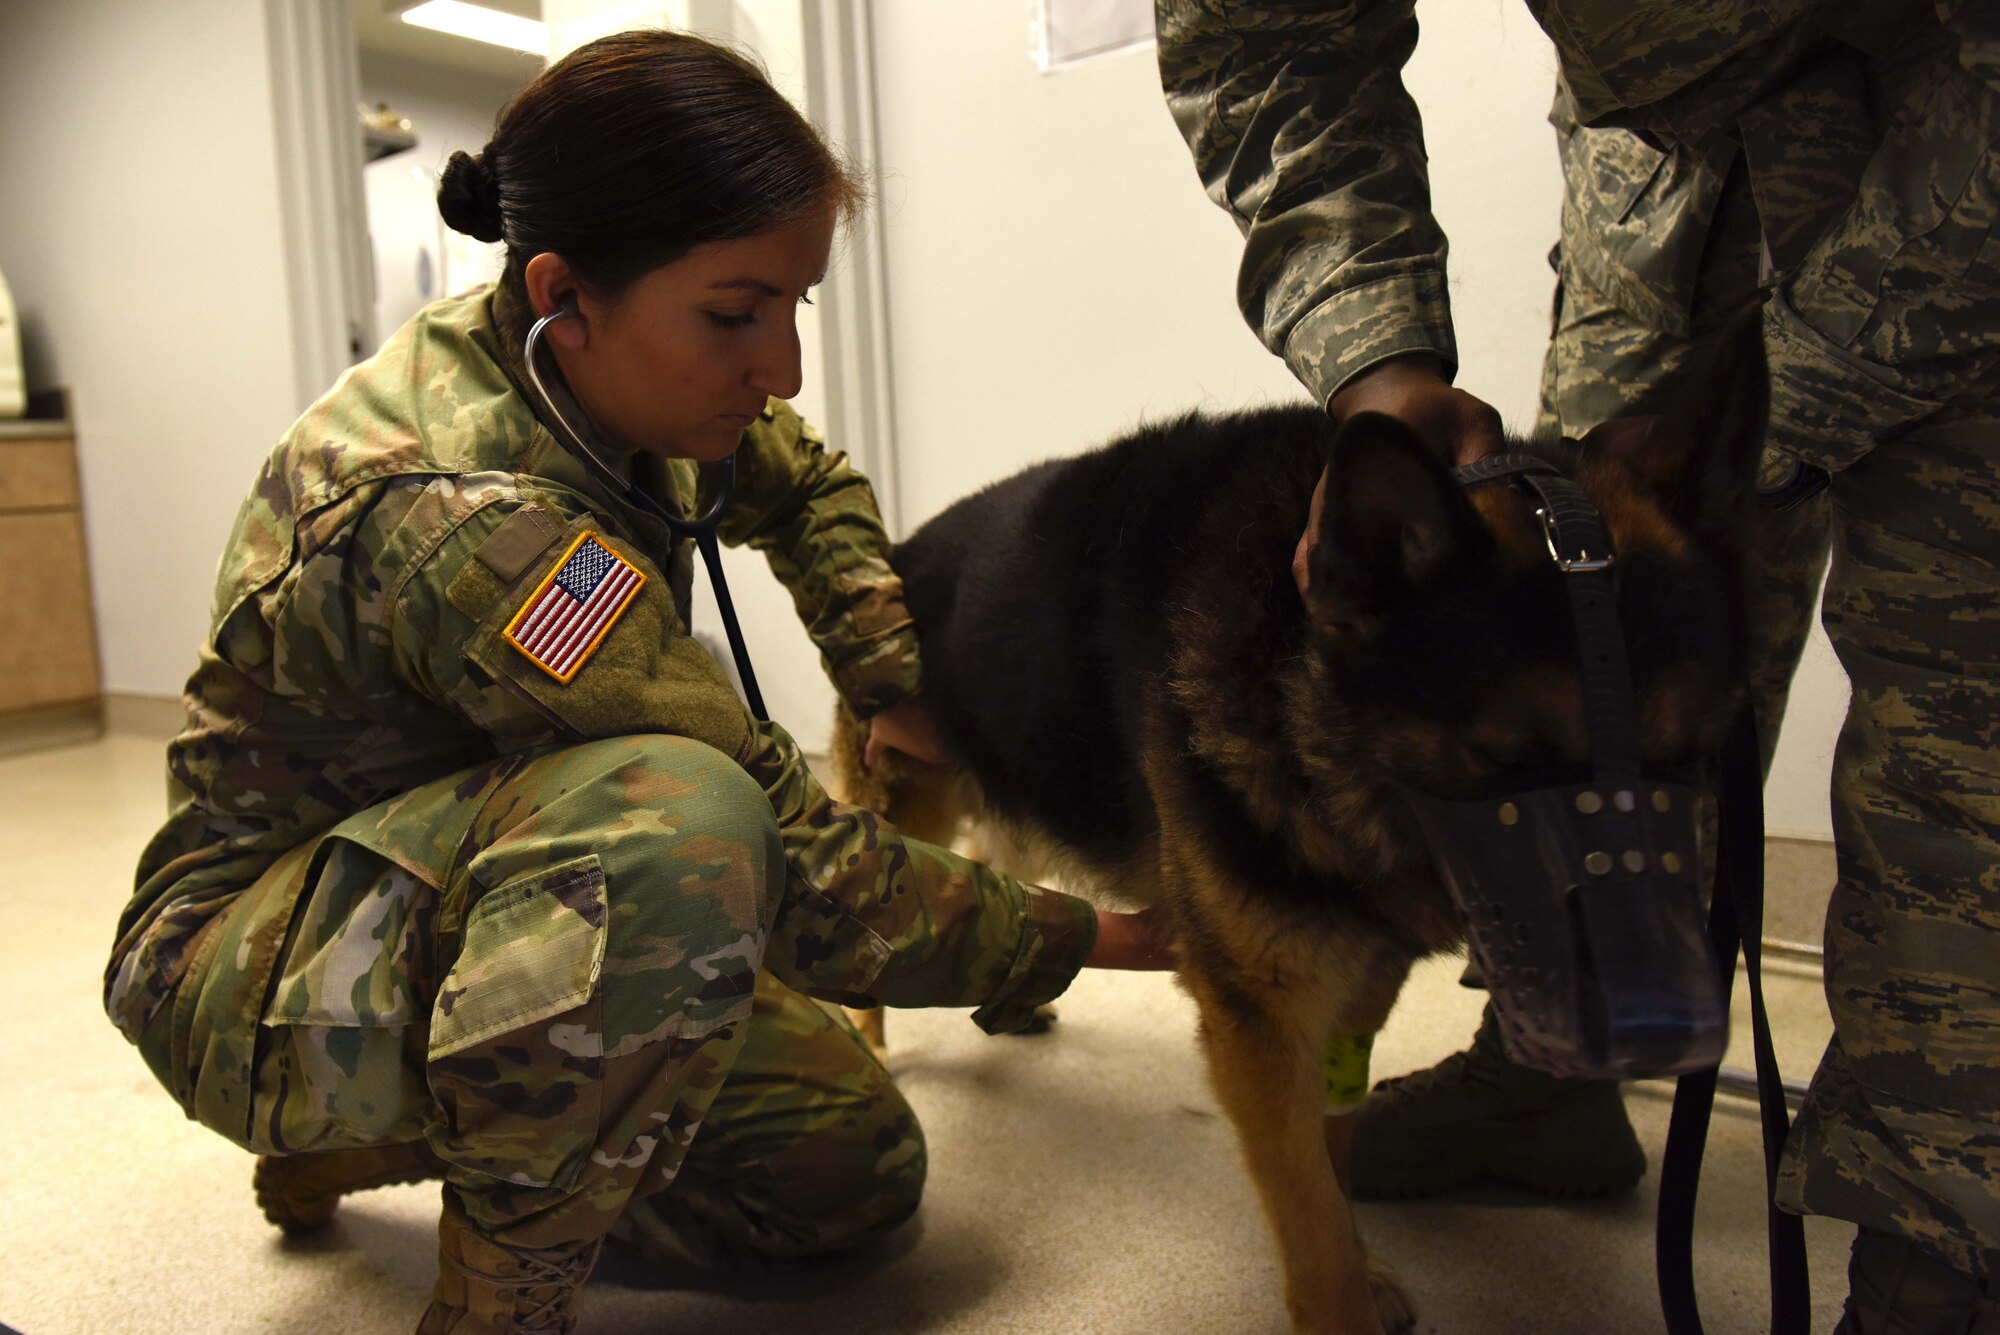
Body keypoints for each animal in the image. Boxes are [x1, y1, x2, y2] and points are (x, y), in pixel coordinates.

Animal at [828, 325, 1768, 1335]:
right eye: (1504, 763)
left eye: (1690, 759)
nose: (1662, 1036)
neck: (1299, 677)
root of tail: (901, 548)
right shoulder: (1262, 1020)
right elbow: (1311, 1210)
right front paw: (1343, 1295)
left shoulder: (1356, 988)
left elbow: (1336, 1158)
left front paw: (1366, 1261)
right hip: (900, 801)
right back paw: (866, 1038)